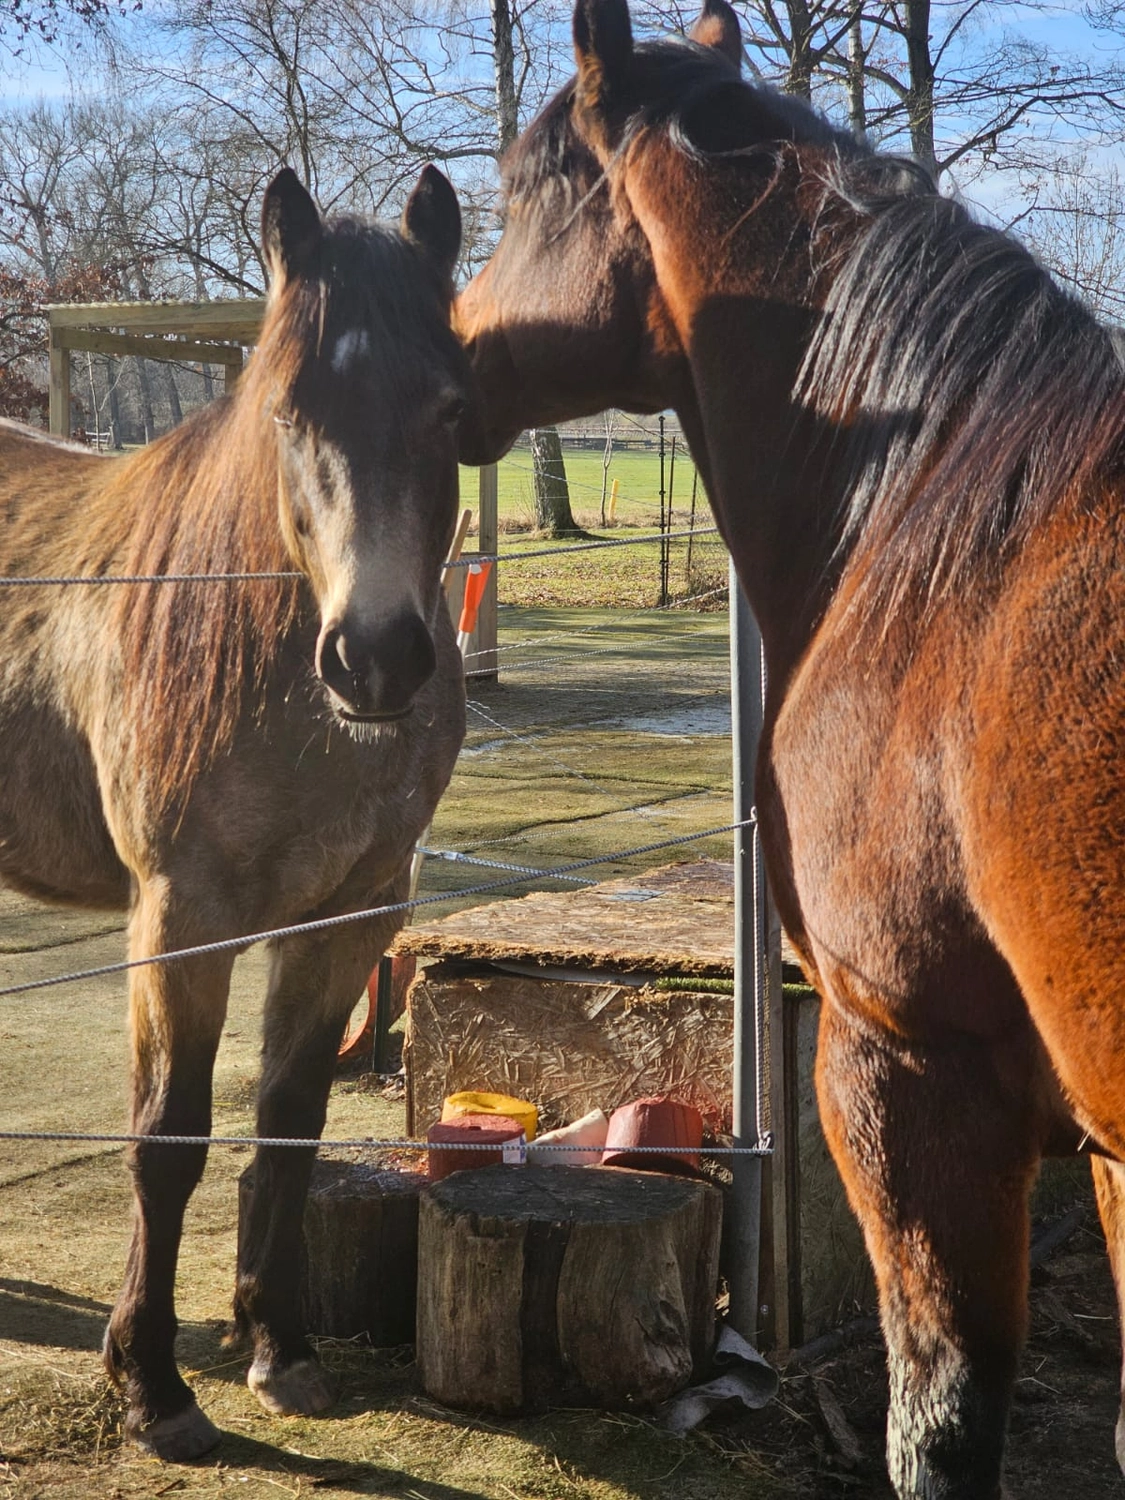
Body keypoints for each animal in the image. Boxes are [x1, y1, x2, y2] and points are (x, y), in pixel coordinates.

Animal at [0, 164, 472, 1460]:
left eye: (449, 406)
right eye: (286, 409)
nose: (374, 659)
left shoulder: (350, 917)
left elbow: (290, 1121)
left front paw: (282, 1349)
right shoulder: (183, 917)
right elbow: (170, 1140)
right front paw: (155, 1387)